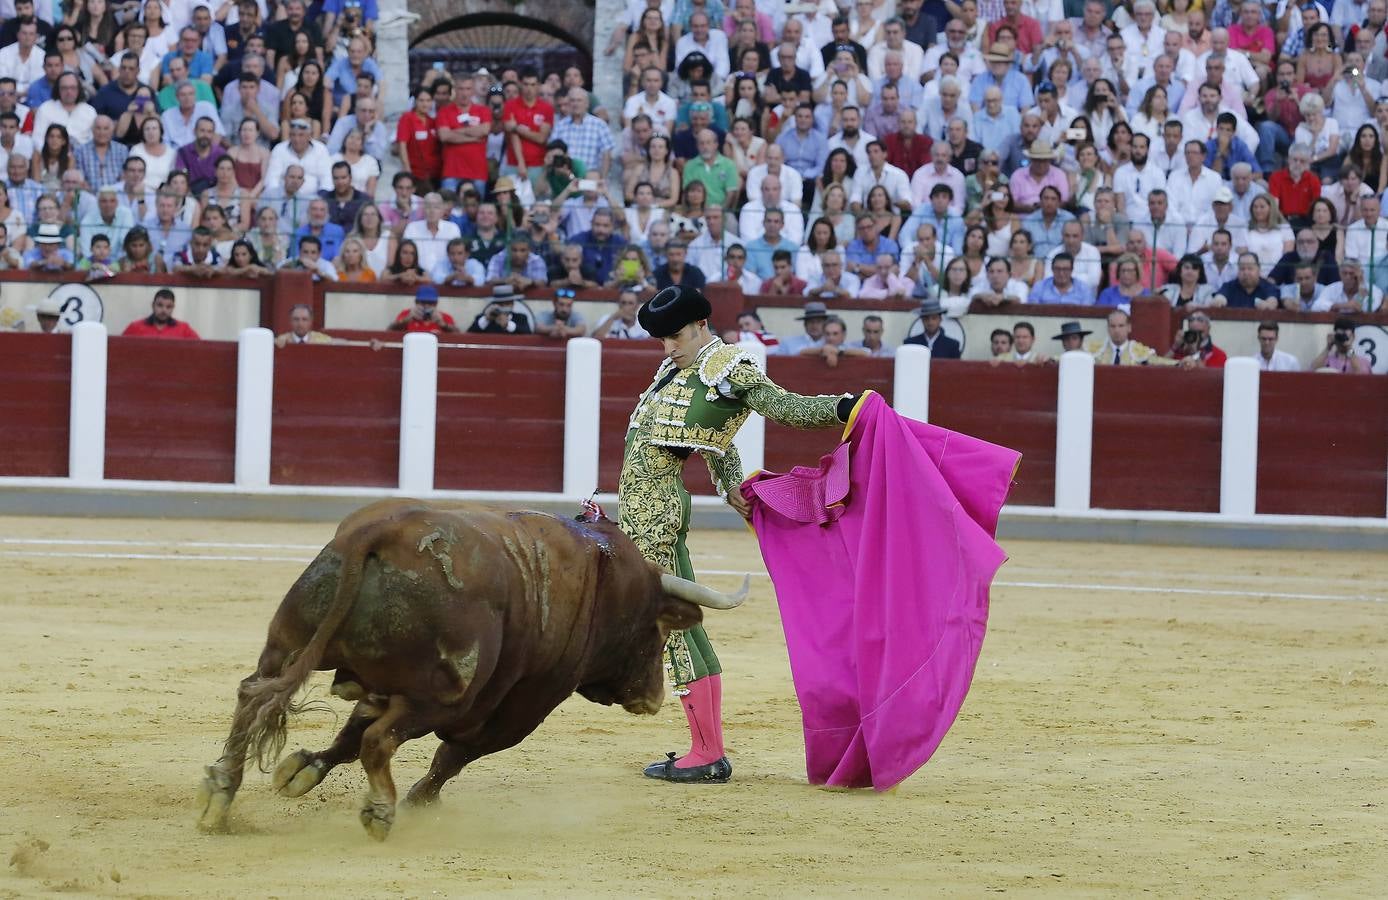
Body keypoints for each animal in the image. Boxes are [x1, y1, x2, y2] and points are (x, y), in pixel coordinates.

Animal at [192, 502, 749, 838]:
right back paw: (382, 810)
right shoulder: (523, 706)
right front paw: (417, 801)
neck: (602, 579)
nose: (654, 698)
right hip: (440, 695)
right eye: (656, 632)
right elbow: (453, 755)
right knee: (381, 740)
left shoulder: (381, 692)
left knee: (253, 697)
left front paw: (301, 770)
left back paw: (219, 794)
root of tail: (381, 531)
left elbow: (347, 739)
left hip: (287, 644)